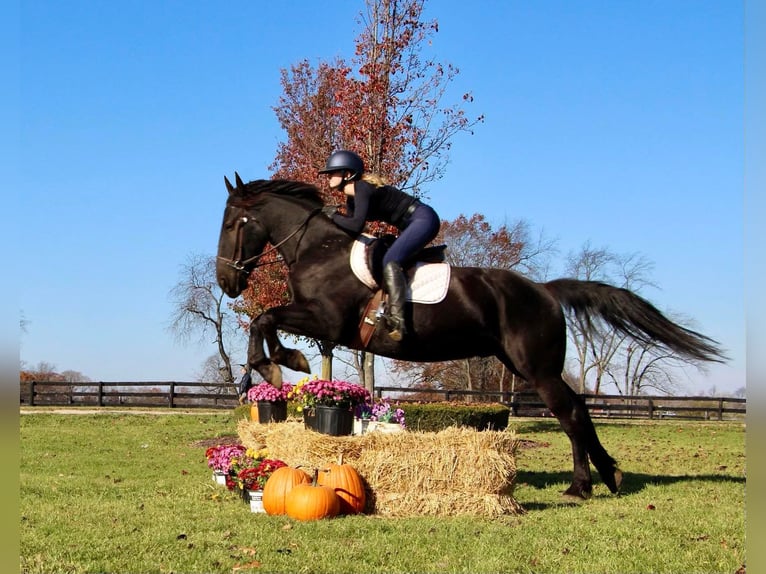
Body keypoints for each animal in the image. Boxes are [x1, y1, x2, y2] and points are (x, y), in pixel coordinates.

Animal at [214, 174, 728, 500]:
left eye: (232, 223)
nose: (226, 282)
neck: (318, 248)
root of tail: (545, 290)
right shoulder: (319, 322)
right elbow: (262, 320)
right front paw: (274, 367)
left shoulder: (327, 321)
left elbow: (264, 319)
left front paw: (280, 364)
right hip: (526, 364)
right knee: (578, 409)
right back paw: (609, 475)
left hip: (535, 367)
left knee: (568, 413)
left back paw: (583, 486)